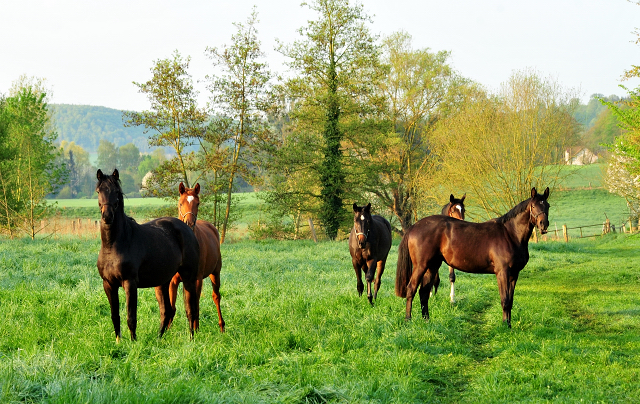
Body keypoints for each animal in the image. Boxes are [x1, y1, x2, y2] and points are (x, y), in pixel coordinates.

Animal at [94, 168, 200, 340]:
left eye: (116, 191)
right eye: (99, 191)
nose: (107, 216)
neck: (114, 245)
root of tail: (187, 228)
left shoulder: (130, 283)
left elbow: (131, 316)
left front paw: (133, 342)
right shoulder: (108, 284)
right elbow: (115, 316)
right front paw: (118, 341)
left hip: (188, 277)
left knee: (190, 309)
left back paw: (191, 339)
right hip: (164, 281)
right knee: (167, 311)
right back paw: (159, 339)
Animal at [170, 182, 225, 332]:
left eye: (198, 203)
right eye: (181, 203)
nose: (189, 224)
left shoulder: (197, 279)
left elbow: (195, 305)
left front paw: (194, 330)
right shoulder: (173, 281)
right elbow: (171, 307)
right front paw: (166, 332)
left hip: (215, 273)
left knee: (216, 297)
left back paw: (221, 326)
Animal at [396, 188, 552, 326]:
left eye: (548, 205)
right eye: (533, 206)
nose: (543, 225)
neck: (510, 234)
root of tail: (414, 227)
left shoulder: (514, 274)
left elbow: (510, 301)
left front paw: (509, 324)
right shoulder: (502, 272)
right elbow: (505, 300)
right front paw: (504, 325)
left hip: (432, 266)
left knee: (423, 293)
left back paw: (427, 321)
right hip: (421, 266)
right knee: (411, 289)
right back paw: (408, 320)